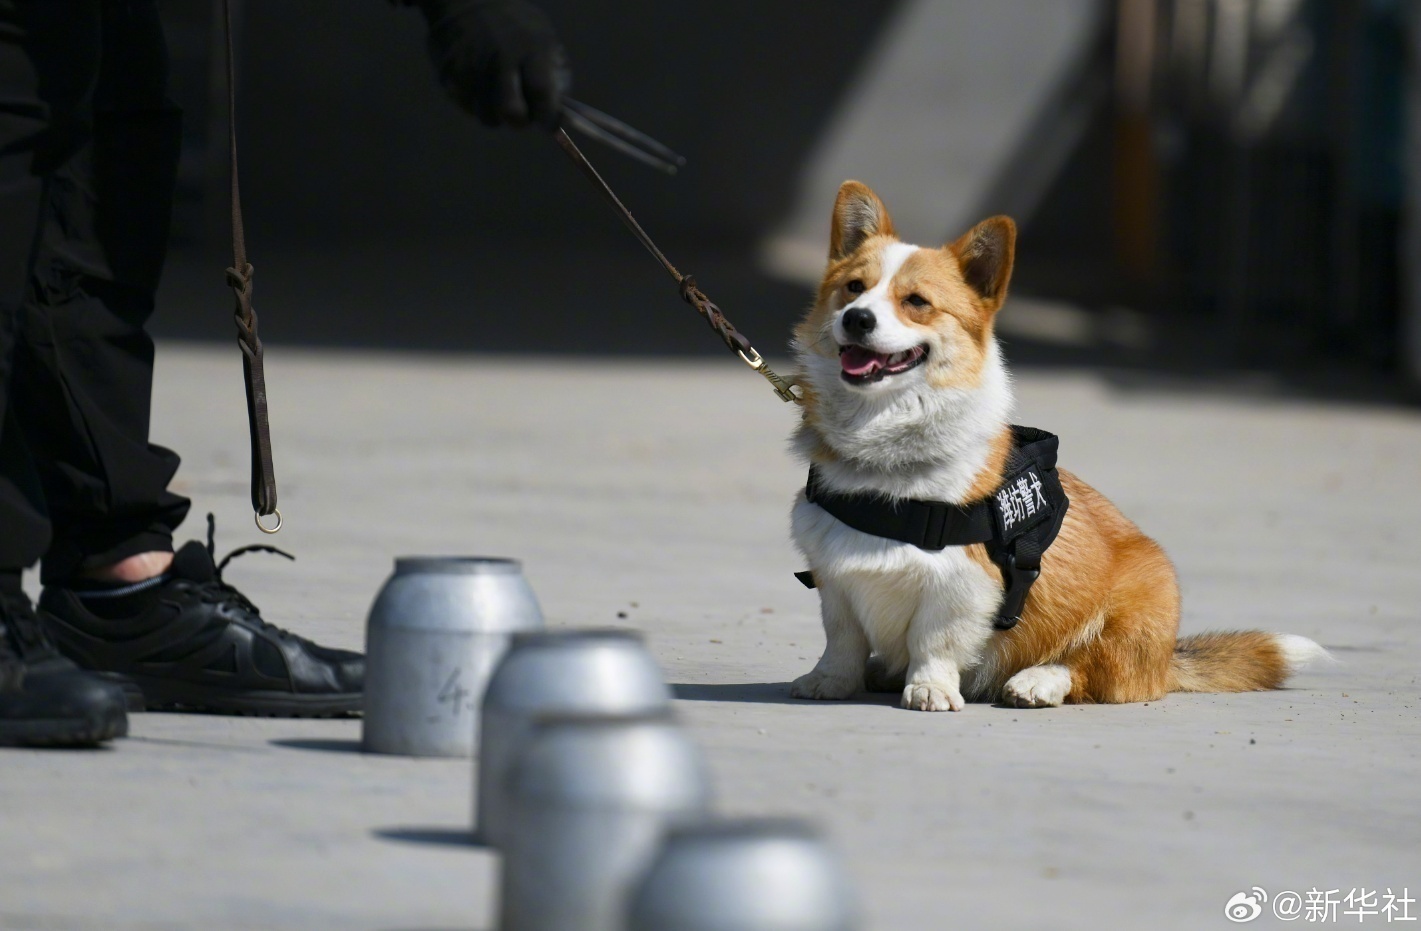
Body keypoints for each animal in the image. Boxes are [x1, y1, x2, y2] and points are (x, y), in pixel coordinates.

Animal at [784, 180, 1324, 713]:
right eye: (853, 288)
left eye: (916, 301)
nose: (856, 319)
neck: (883, 444)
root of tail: (1169, 660)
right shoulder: (836, 580)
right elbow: (843, 641)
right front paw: (829, 681)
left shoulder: (961, 585)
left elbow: (934, 641)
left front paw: (930, 689)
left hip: (1138, 606)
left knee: (1092, 667)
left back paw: (1036, 681)